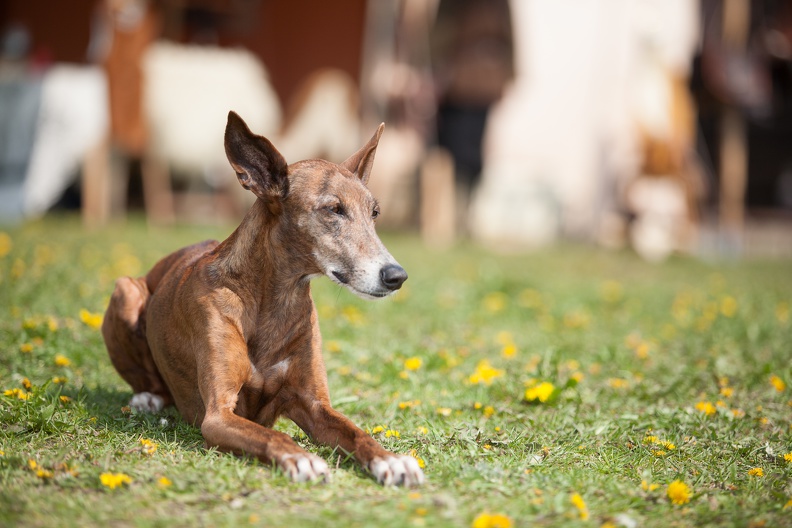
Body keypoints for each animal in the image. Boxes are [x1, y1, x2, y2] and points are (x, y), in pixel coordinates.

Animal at [103, 111, 426, 486]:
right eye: (334, 209)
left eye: (374, 213)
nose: (396, 276)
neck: (273, 301)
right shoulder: (218, 415)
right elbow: (272, 434)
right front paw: (301, 458)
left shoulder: (314, 405)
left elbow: (357, 432)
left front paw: (391, 460)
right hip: (125, 291)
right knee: (147, 380)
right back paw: (147, 398)